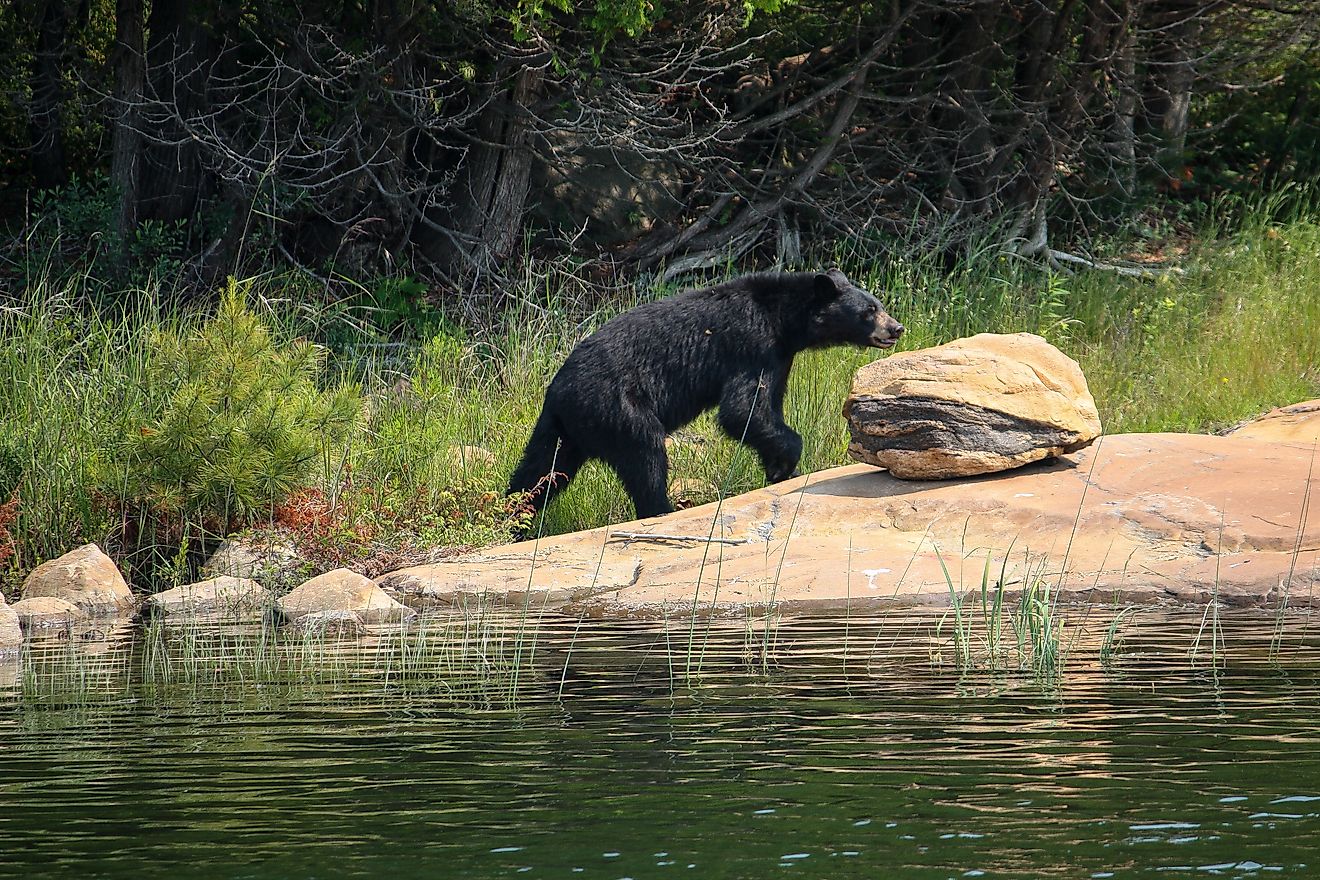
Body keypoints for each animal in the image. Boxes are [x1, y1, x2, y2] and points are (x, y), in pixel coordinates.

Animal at [507, 268, 905, 520]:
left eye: (879, 304)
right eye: (869, 310)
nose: (897, 328)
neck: (782, 318)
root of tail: (559, 392)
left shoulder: (779, 356)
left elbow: (765, 406)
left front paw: (779, 469)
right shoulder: (752, 344)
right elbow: (742, 409)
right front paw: (785, 462)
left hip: (563, 429)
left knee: (540, 471)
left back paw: (515, 520)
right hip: (617, 406)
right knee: (644, 455)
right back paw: (660, 508)